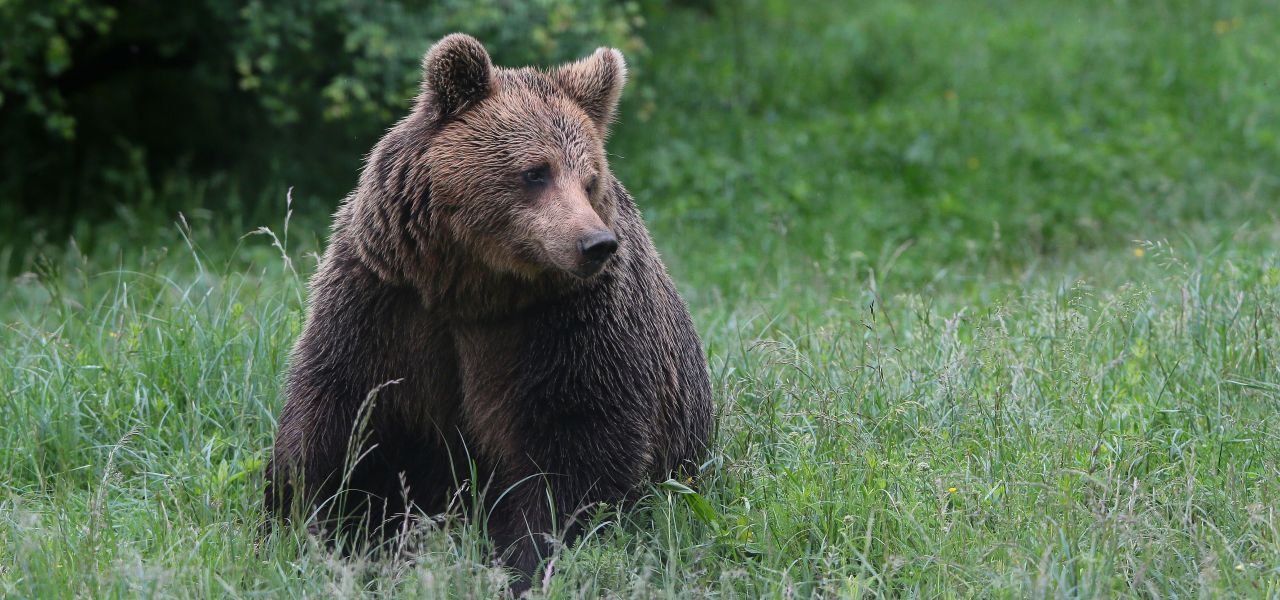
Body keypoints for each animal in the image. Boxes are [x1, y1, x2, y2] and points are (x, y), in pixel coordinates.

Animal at [264, 32, 716, 588]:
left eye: (590, 179)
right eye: (536, 171)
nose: (595, 243)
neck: (472, 289)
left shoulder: (570, 326)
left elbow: (577, 443)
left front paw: (527, 558)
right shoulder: (383, 300)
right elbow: (339, 413)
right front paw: (304, 527)